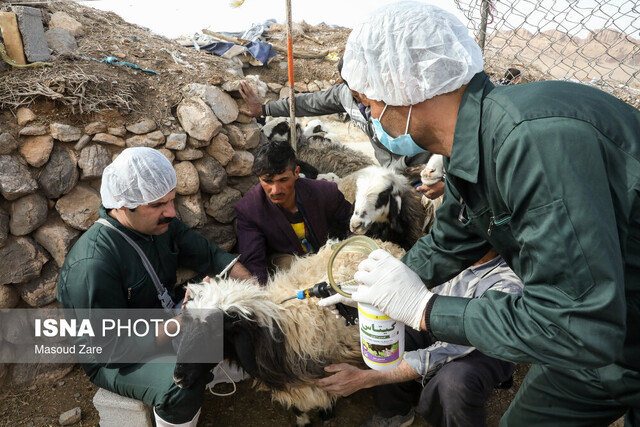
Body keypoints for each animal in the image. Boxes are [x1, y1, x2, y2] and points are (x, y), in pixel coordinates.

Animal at [174, 239, 404, 426]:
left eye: (216, 332)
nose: (178, 378)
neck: (280, 333)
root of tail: (383, 243)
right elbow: (298, 408)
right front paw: (303, 421)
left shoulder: (327, 372)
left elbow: (325, 402)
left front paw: (327, 416)